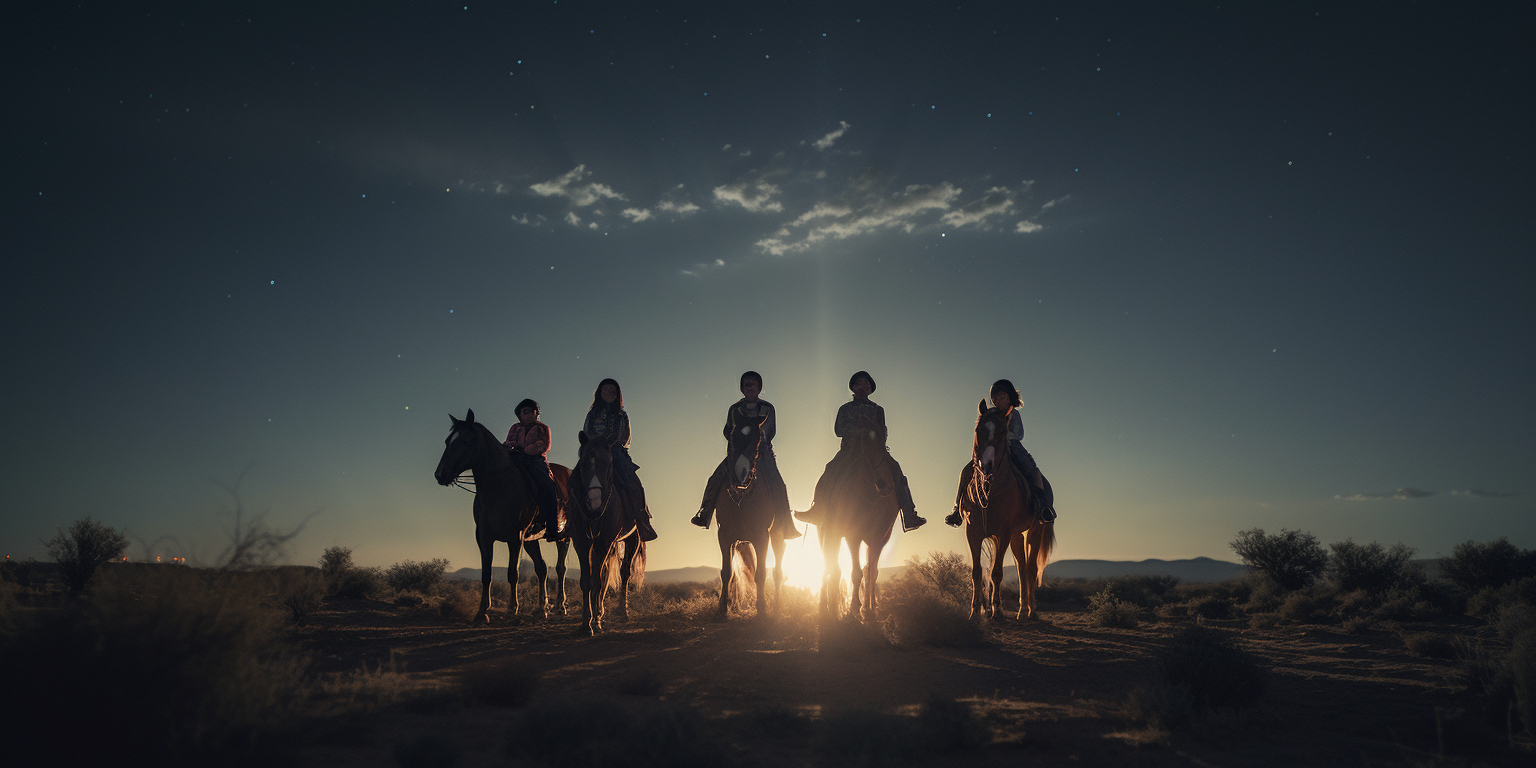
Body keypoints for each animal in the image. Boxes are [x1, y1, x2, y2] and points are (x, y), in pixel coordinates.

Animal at [433, 411, 571, 620]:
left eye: (464, 441)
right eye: (448, 440)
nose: (440, 474)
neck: (500, 486)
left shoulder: (515, 537)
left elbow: (512, 573)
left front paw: (513, 609)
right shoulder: (484, 537)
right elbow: (486, 575)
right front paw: (482, 612)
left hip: (564, 536)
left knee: (560, 568)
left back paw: (560, 606)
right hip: (531, 540)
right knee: (542, 569)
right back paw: (541, 608)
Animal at [571, 433, 654, 635]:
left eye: (609, 463)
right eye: (584, 461)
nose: (595, 501)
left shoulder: (605, 540)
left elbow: (597, 580)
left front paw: (595, 623)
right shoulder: (581, 541)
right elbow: (587, 580)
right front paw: (586, 623)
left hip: (633, 538)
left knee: (624, 573)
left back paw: (622, 611)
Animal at [706, 411, 786, 620]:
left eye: (758, 441)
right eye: (732, 437)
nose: (740, 474)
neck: (742, 498)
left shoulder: (762, 537)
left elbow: (761, 573)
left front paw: (762, 610)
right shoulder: (725, 536)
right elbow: (727, 573)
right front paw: (722, 610)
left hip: (777, 537)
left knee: (778, 571)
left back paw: (777, 607)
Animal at [804, 427, 897, 623]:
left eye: (884, 449)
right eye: (865, 450)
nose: (884, 484)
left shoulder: (878, 539)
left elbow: (871, 572)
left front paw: (870, 610)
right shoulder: (853, 536)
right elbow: (856, 573)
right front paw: (855, 608)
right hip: (827, 533)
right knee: (828, 565)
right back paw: (825, 607)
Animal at [946, 405, 1056, 620]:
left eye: (1002, 432)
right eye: (977, 430)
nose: (986, 465)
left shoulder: (1003, 534)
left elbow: (996, 572)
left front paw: (996, 610)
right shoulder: (974, 533)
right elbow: (977, 572)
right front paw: (975, 611)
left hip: (1034, 531)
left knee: (1031, 568)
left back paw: (1031, 610)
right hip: (1016, 536)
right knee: (1022, 568)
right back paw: (1022, 610)